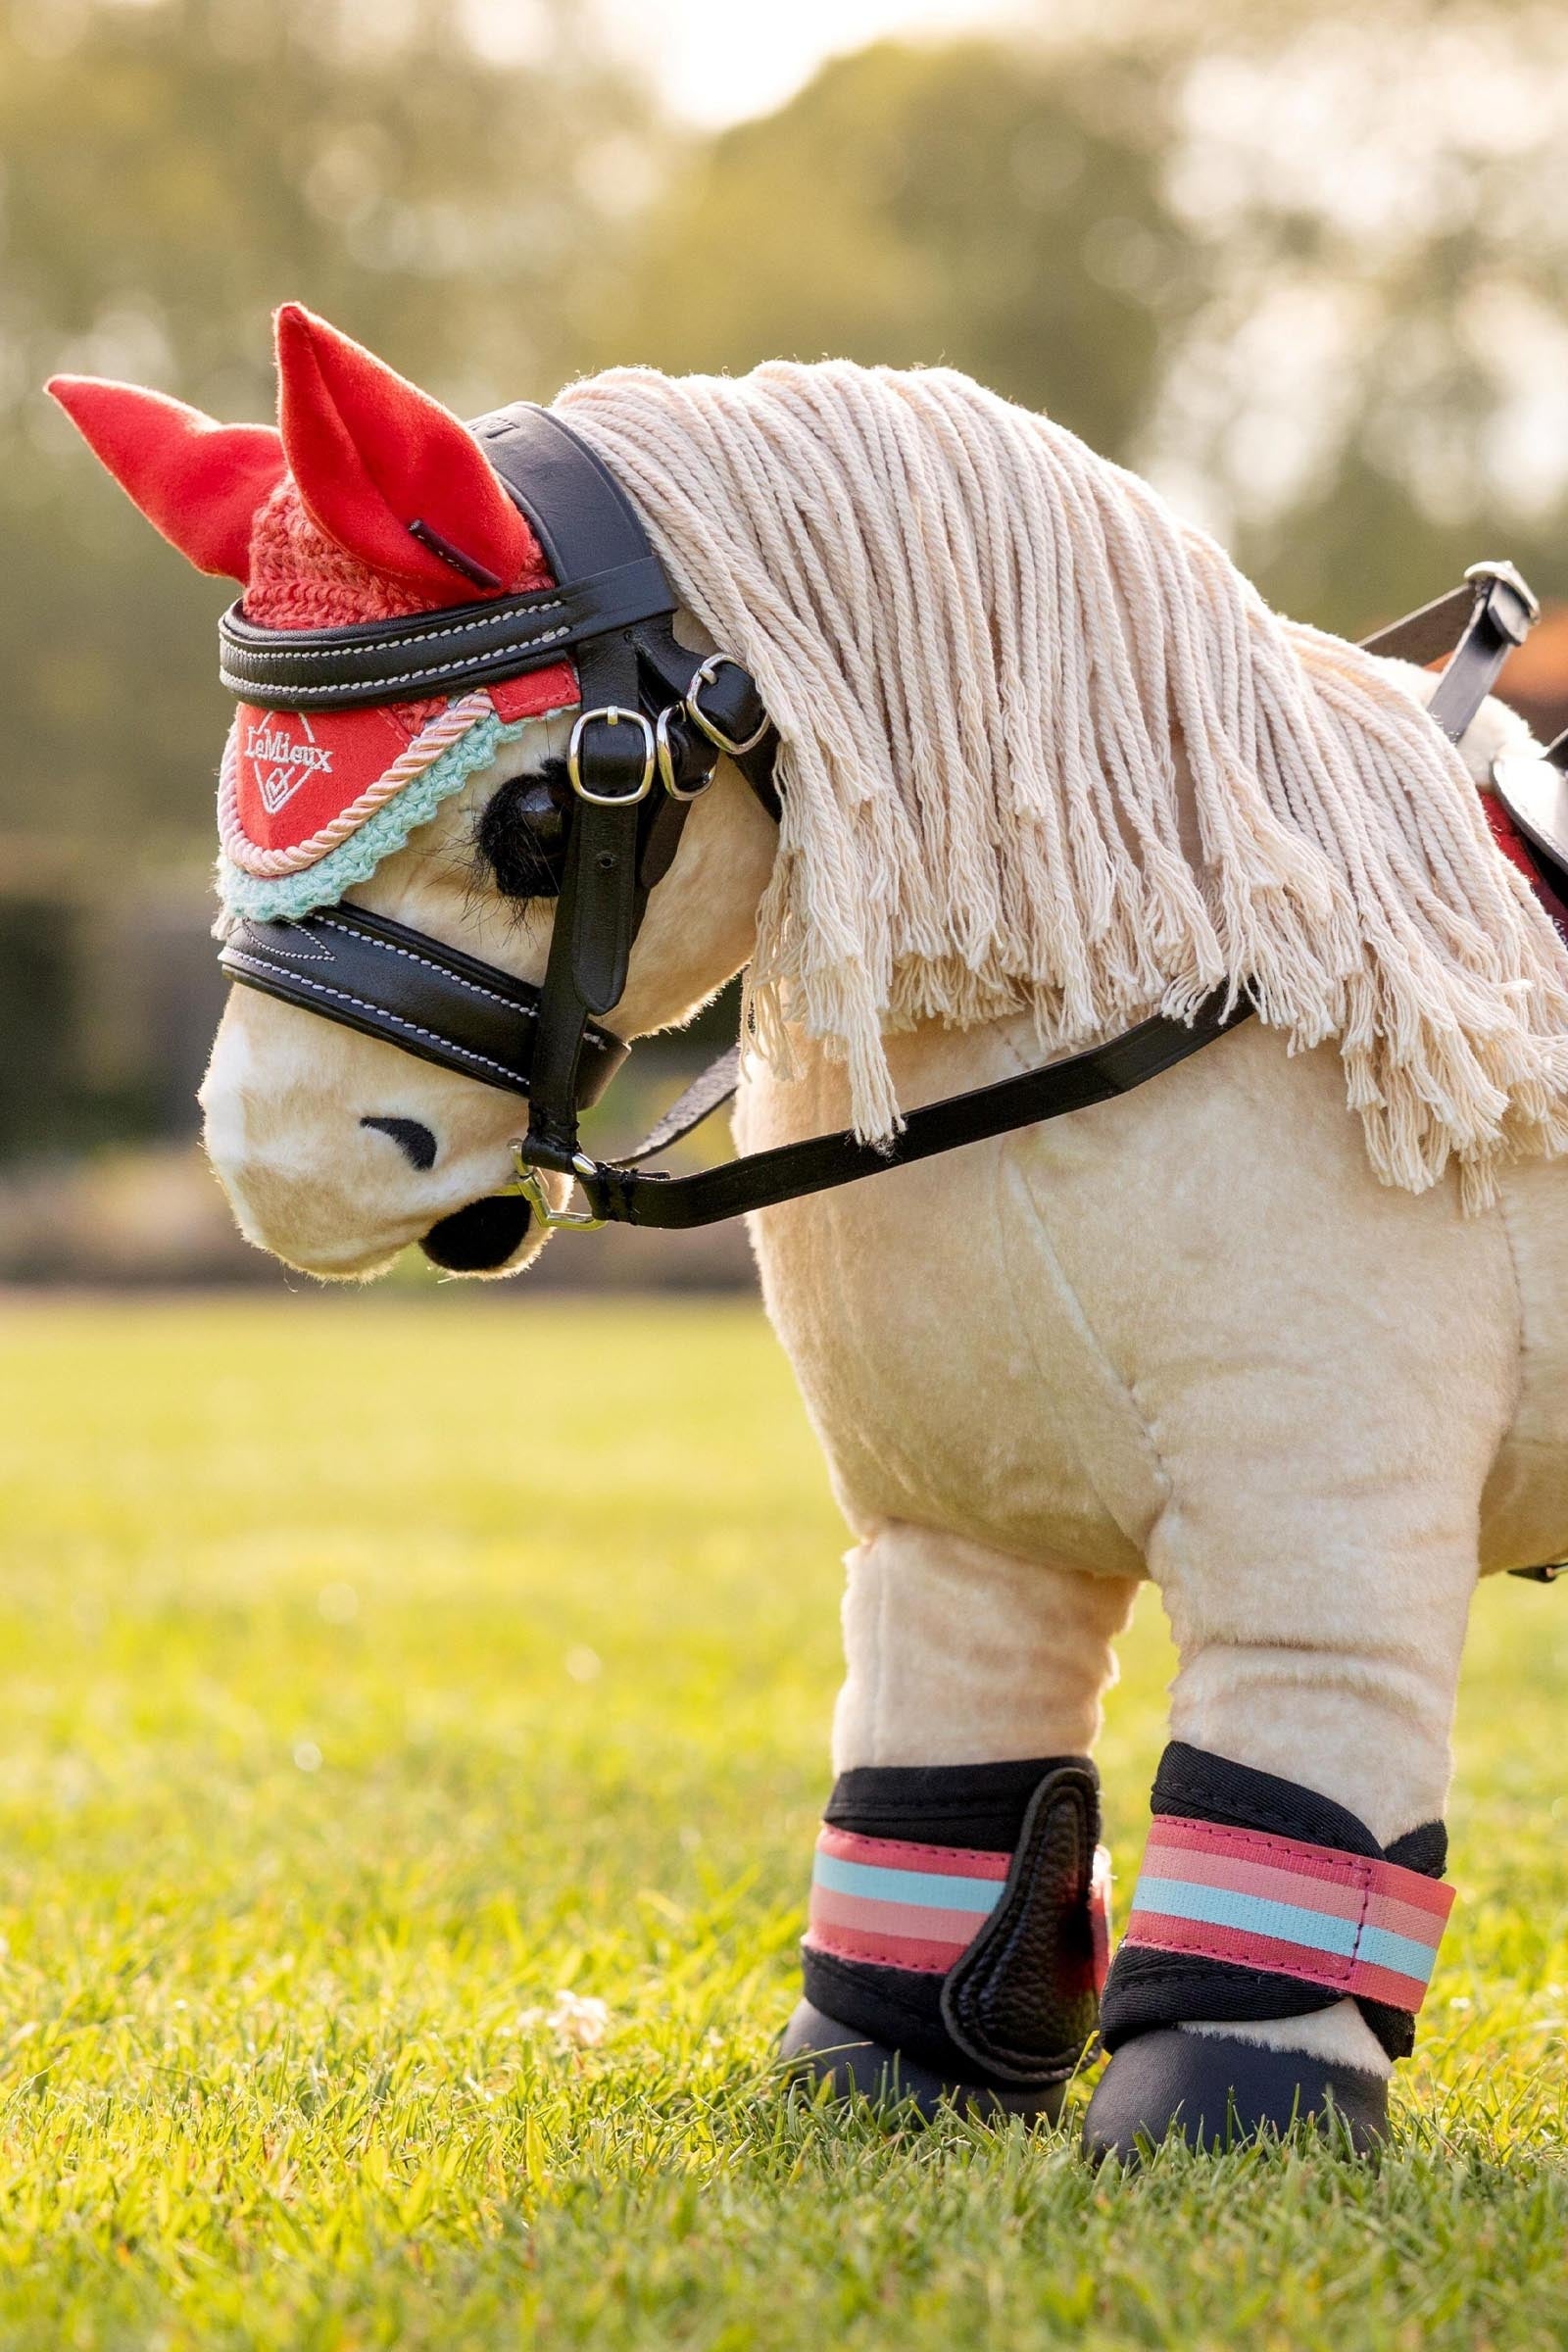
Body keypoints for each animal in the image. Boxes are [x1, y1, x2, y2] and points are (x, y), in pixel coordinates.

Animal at [50, 306, 1568, 2160]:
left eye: (538, 814)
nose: (280, 1166)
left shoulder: (1325, 1527)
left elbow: (1292, 1785)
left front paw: (1224, 2120)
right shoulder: (957, 1515)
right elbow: (947, 1781)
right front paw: (880, 2080)